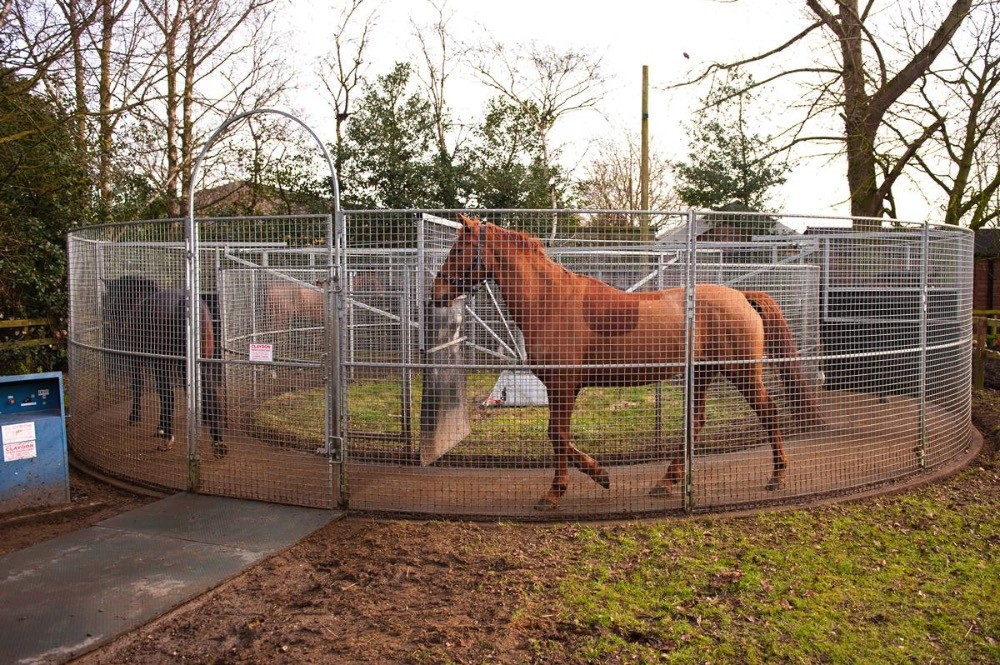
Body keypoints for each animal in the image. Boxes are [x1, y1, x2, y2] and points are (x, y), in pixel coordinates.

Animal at [103, 276, 226, 457]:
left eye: (115, 296)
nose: (110, 323)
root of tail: (183, 300)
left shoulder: (139, 357)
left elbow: (143, 386)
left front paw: (139, 418)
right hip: (202, 360)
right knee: (210, 392)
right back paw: (217, 440)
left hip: (163, 360)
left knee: (167, 393)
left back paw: (167, 437)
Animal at [430, 215, 823, 510]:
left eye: (459, 249)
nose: (436, 293)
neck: (551, 301)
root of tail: (741, 295)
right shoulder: (564, 387)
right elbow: (560, 436)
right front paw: (600, 474)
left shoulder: (562, 385)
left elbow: (557, 435)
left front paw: (557, 491)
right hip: (702, 374)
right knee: (697, 423)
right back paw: (667, 482)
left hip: (741, 372)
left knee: (769, 413)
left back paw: (777, 476)